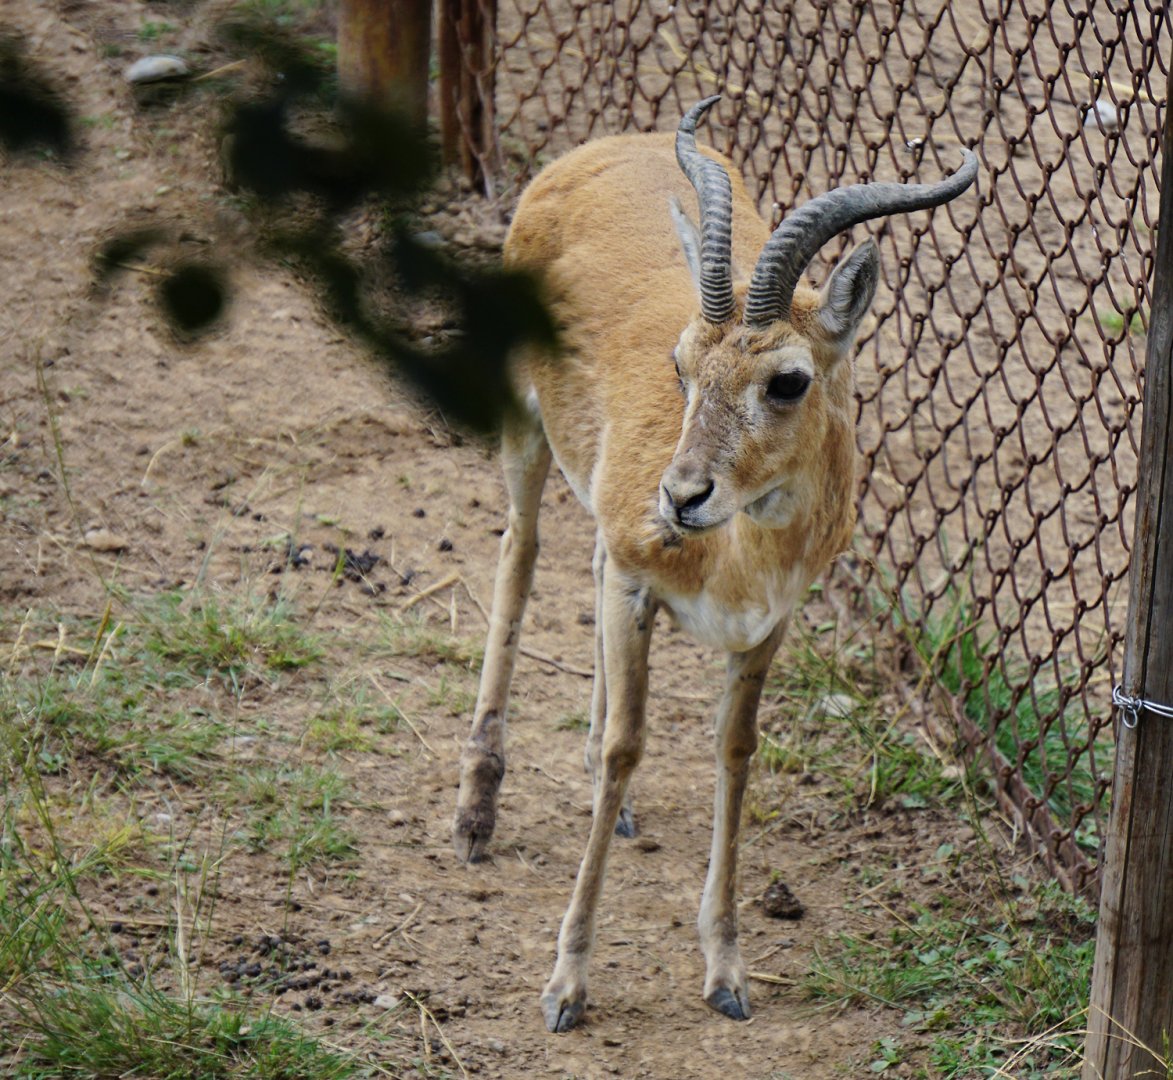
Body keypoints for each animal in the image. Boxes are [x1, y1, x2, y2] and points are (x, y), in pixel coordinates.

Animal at [453, 96, 977, 1032]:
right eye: (681, 364)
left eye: (788, 380)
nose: (680, 496)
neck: (735, 558)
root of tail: (604, 146)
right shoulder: (638, 589)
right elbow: (627, 747)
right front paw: (566, 983)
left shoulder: (766, 627)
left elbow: (734, 753)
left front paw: (726, 969)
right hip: (525, 432)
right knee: (520, 555)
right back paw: (475, 814)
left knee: (582, 559)